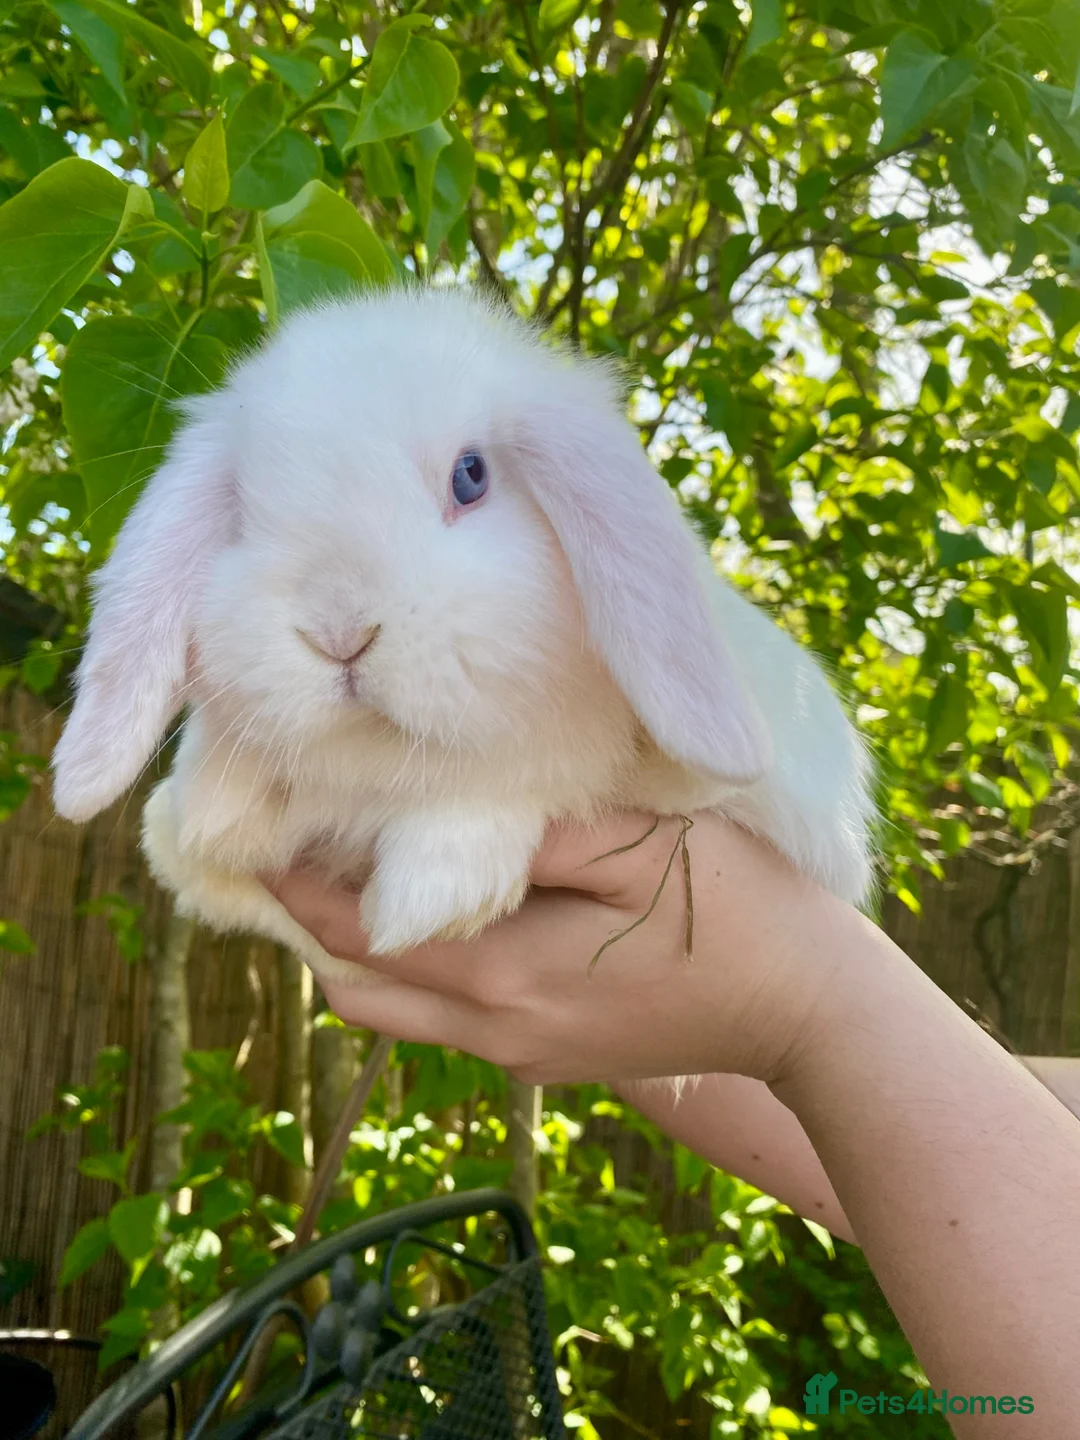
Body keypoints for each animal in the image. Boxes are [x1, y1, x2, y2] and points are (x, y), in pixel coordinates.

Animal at [52, 286, 874, 988]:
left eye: (470, 477)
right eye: (243, 512)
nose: (340, 633)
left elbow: (552, 776)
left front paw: (435, 888)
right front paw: (222, 806)